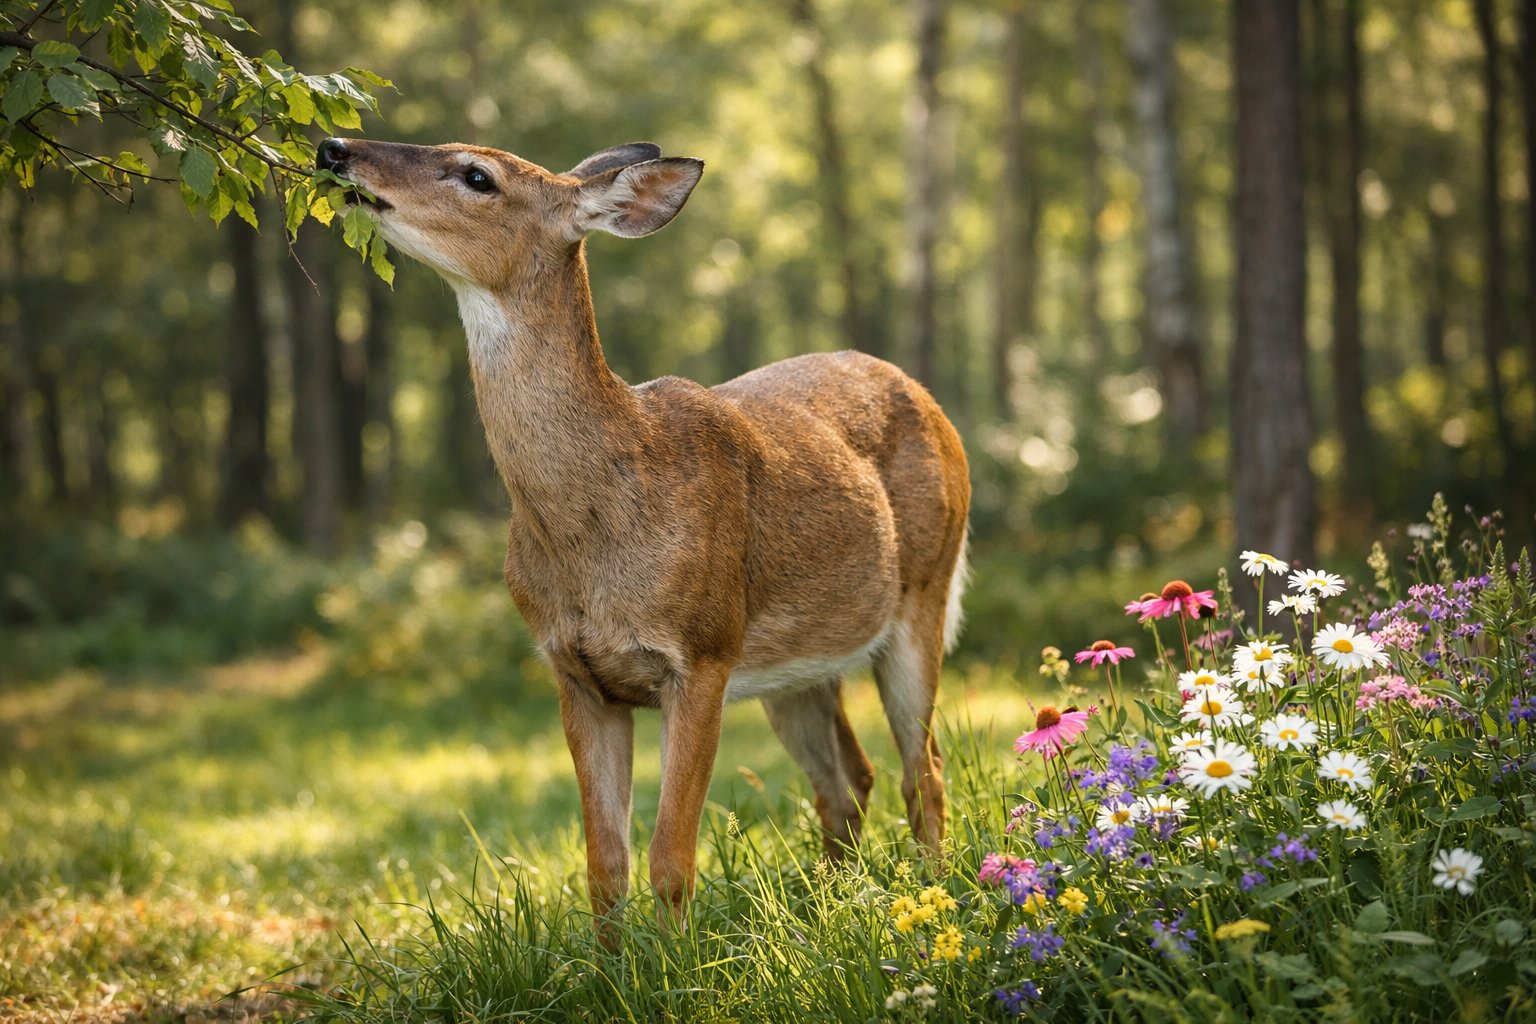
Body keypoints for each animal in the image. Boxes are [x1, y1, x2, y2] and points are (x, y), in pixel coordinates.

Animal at [315, 136, 971, 938]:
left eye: (477, 175)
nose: (337, 148)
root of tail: (930, 401)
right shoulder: (576, 673)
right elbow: (604, 864)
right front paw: (612, 960)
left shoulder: (703, 653)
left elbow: (669, 859)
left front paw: (683, 959)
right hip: (797, 664)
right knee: (850, 780)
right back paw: (837, 901)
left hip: (923, 593)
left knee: (923, 769)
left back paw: (933, 899)